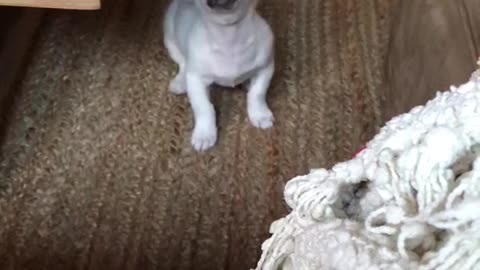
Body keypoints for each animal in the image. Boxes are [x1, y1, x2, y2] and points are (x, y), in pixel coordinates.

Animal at [163, 0, 274, 151]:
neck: (228, 35)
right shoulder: (196, 80)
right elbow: (203, 107)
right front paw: (204, 134)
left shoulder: (266, 68)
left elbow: (257, 94)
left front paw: (260, 115)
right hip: (170, 40)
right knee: (182, 62)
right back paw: (180, 82)